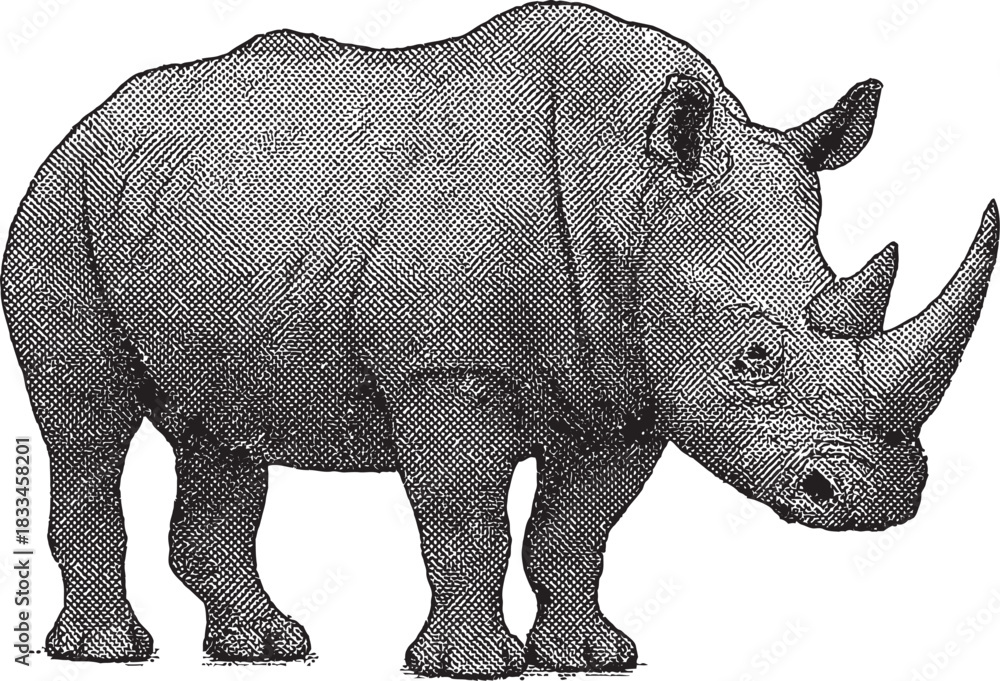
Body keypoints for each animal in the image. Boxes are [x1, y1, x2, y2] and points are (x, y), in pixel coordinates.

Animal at [2, 2, 996, 677]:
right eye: (755, 359)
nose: (879, 499)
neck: (632, 201)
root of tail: (87, 121)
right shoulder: (447, 372)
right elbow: (466, 514)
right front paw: (475, 666)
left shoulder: (626, 383)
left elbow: (579, 525)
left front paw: (591, 656)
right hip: (57, 205)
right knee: (89, 424)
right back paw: (109, 651)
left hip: (186, 211)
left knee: (223, 429)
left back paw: (266, 645)